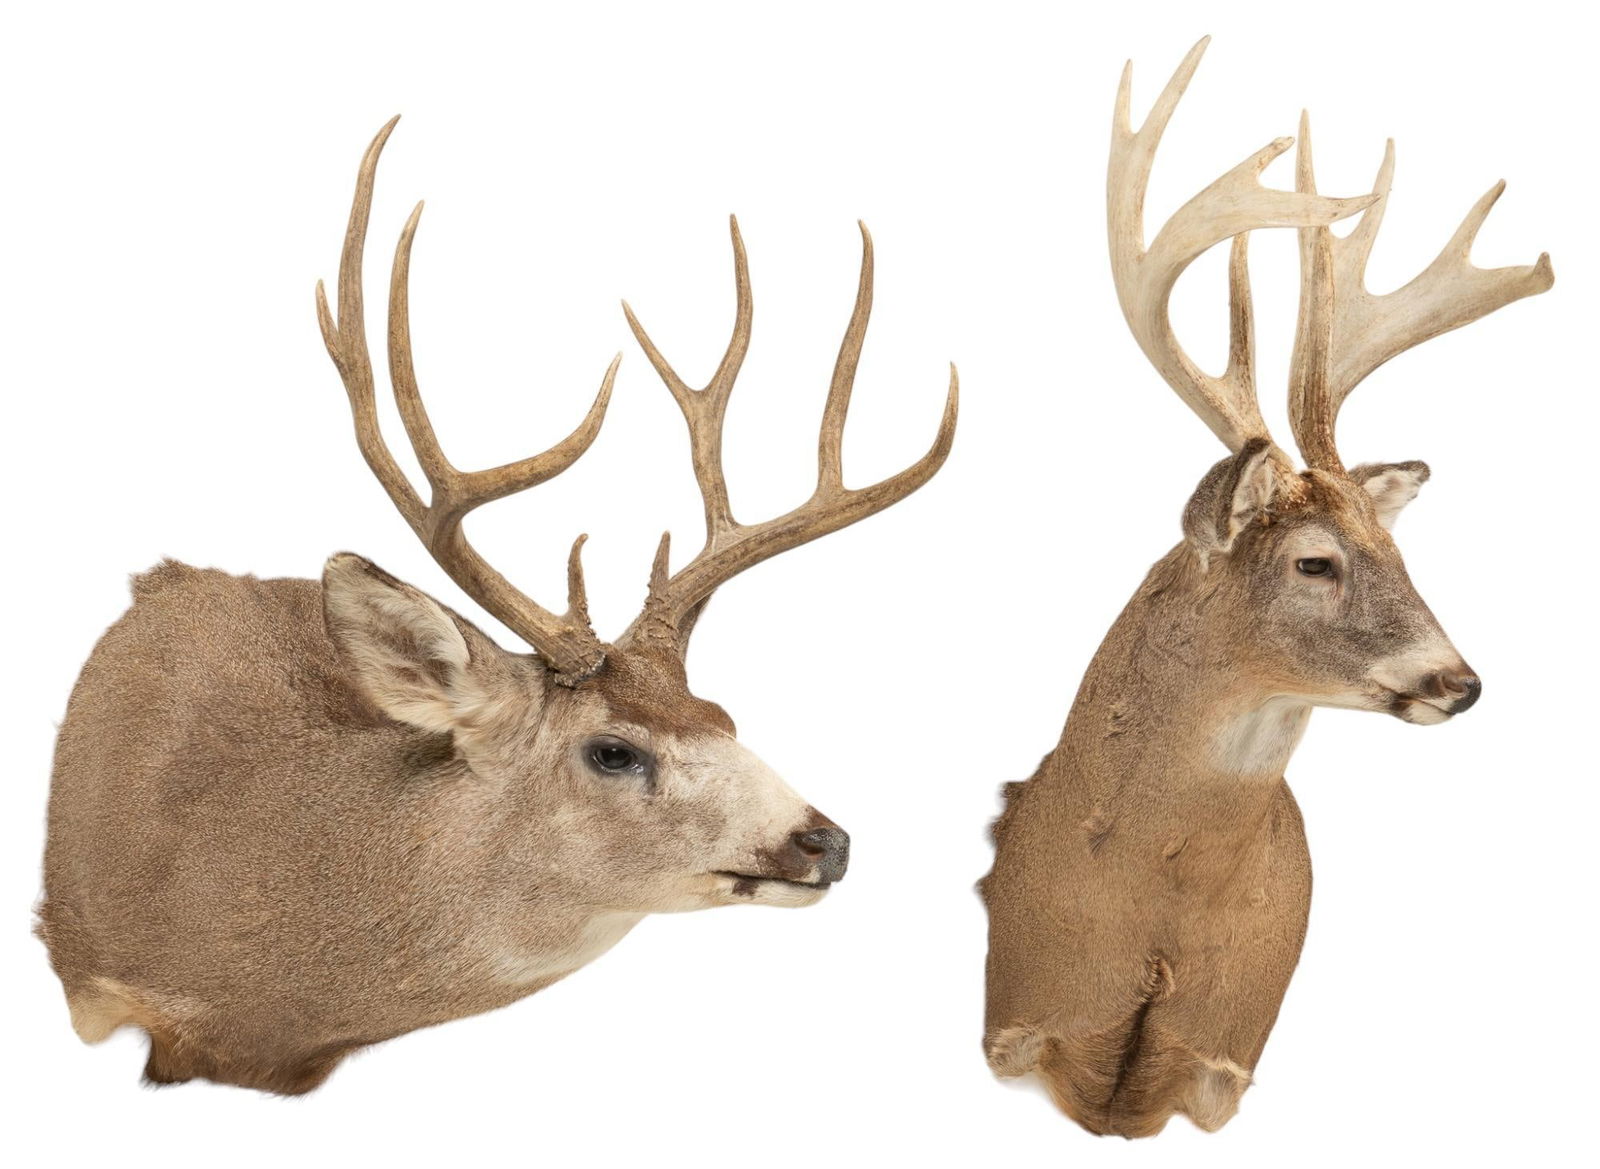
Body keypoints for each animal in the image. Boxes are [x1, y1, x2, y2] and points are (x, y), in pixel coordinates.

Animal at [980, 38, 1552, 1138]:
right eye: (1315, 560)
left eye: (1403, 554)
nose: (1459, 681)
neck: (1156, 916)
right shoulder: (1019, 1015)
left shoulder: (1224, 1061)